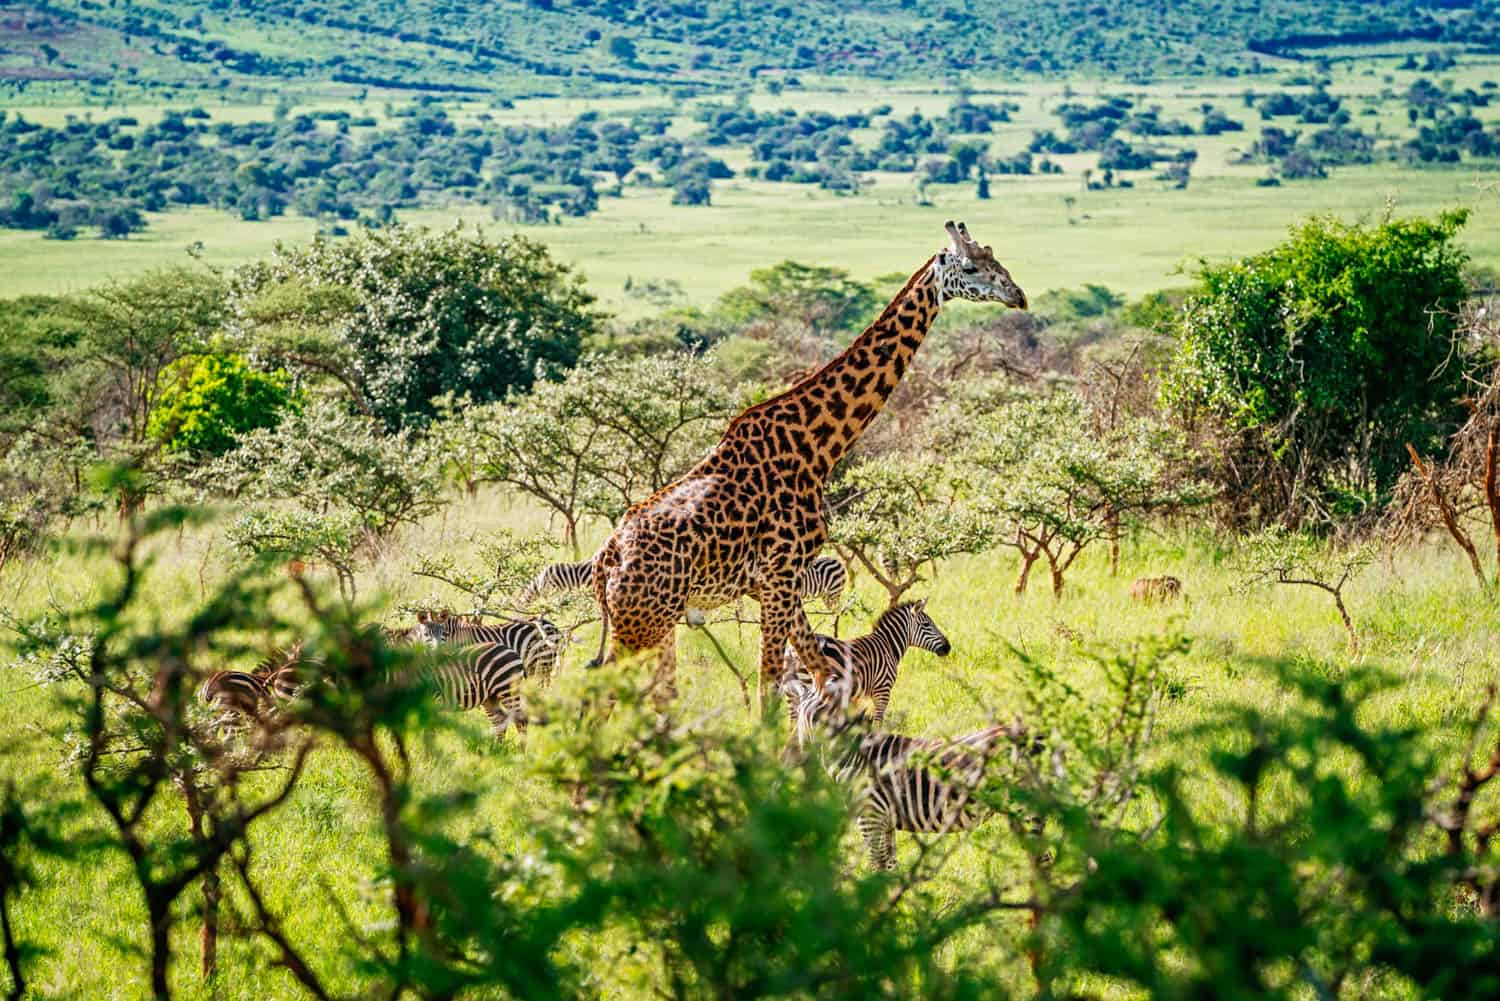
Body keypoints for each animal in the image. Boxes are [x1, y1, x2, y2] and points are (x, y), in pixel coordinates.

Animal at [591, 221, 1027, 706]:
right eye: (970, 267)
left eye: (995, 258)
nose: (1018, 295)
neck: (816, 447)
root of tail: (603, 563)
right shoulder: (778, 574)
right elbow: (769, 684)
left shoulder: (779, 581)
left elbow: (820, 671)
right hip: (642, 621)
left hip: (658, 621)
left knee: (658, 693)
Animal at [778, 600, 950, 728]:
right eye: (927, 625)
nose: (948, 647)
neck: (888, 646)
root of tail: (792, 651)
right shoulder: (883, 691)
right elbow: (877, 722)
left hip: (791, 693)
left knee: (794, 723)